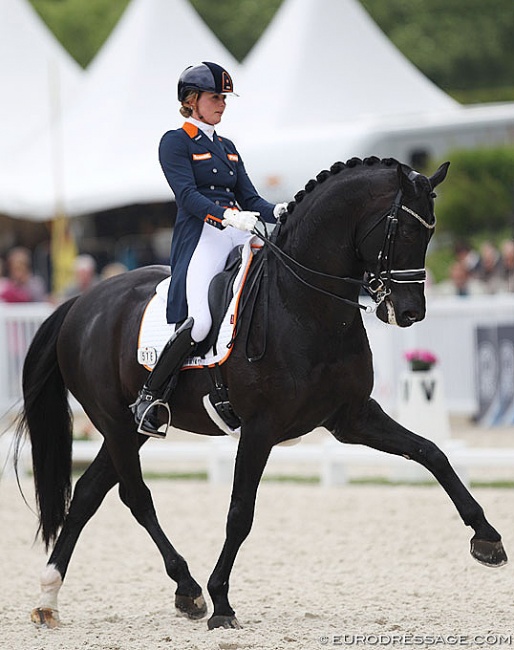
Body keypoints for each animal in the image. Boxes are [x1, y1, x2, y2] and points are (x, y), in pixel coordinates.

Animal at [15, 156, 504, 628]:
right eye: (401, 228)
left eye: (432, 230)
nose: (409, 313)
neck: (304, 307)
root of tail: (81, 302)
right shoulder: (260, 428)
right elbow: (240, 514)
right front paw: (221, 603)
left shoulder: (352, 417)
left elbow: (430, 452)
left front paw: (487, 539)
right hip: (115, 423)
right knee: (135, 497)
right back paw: (188, 588)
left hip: (129, 430)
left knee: (87, 495)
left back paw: (49, 598)